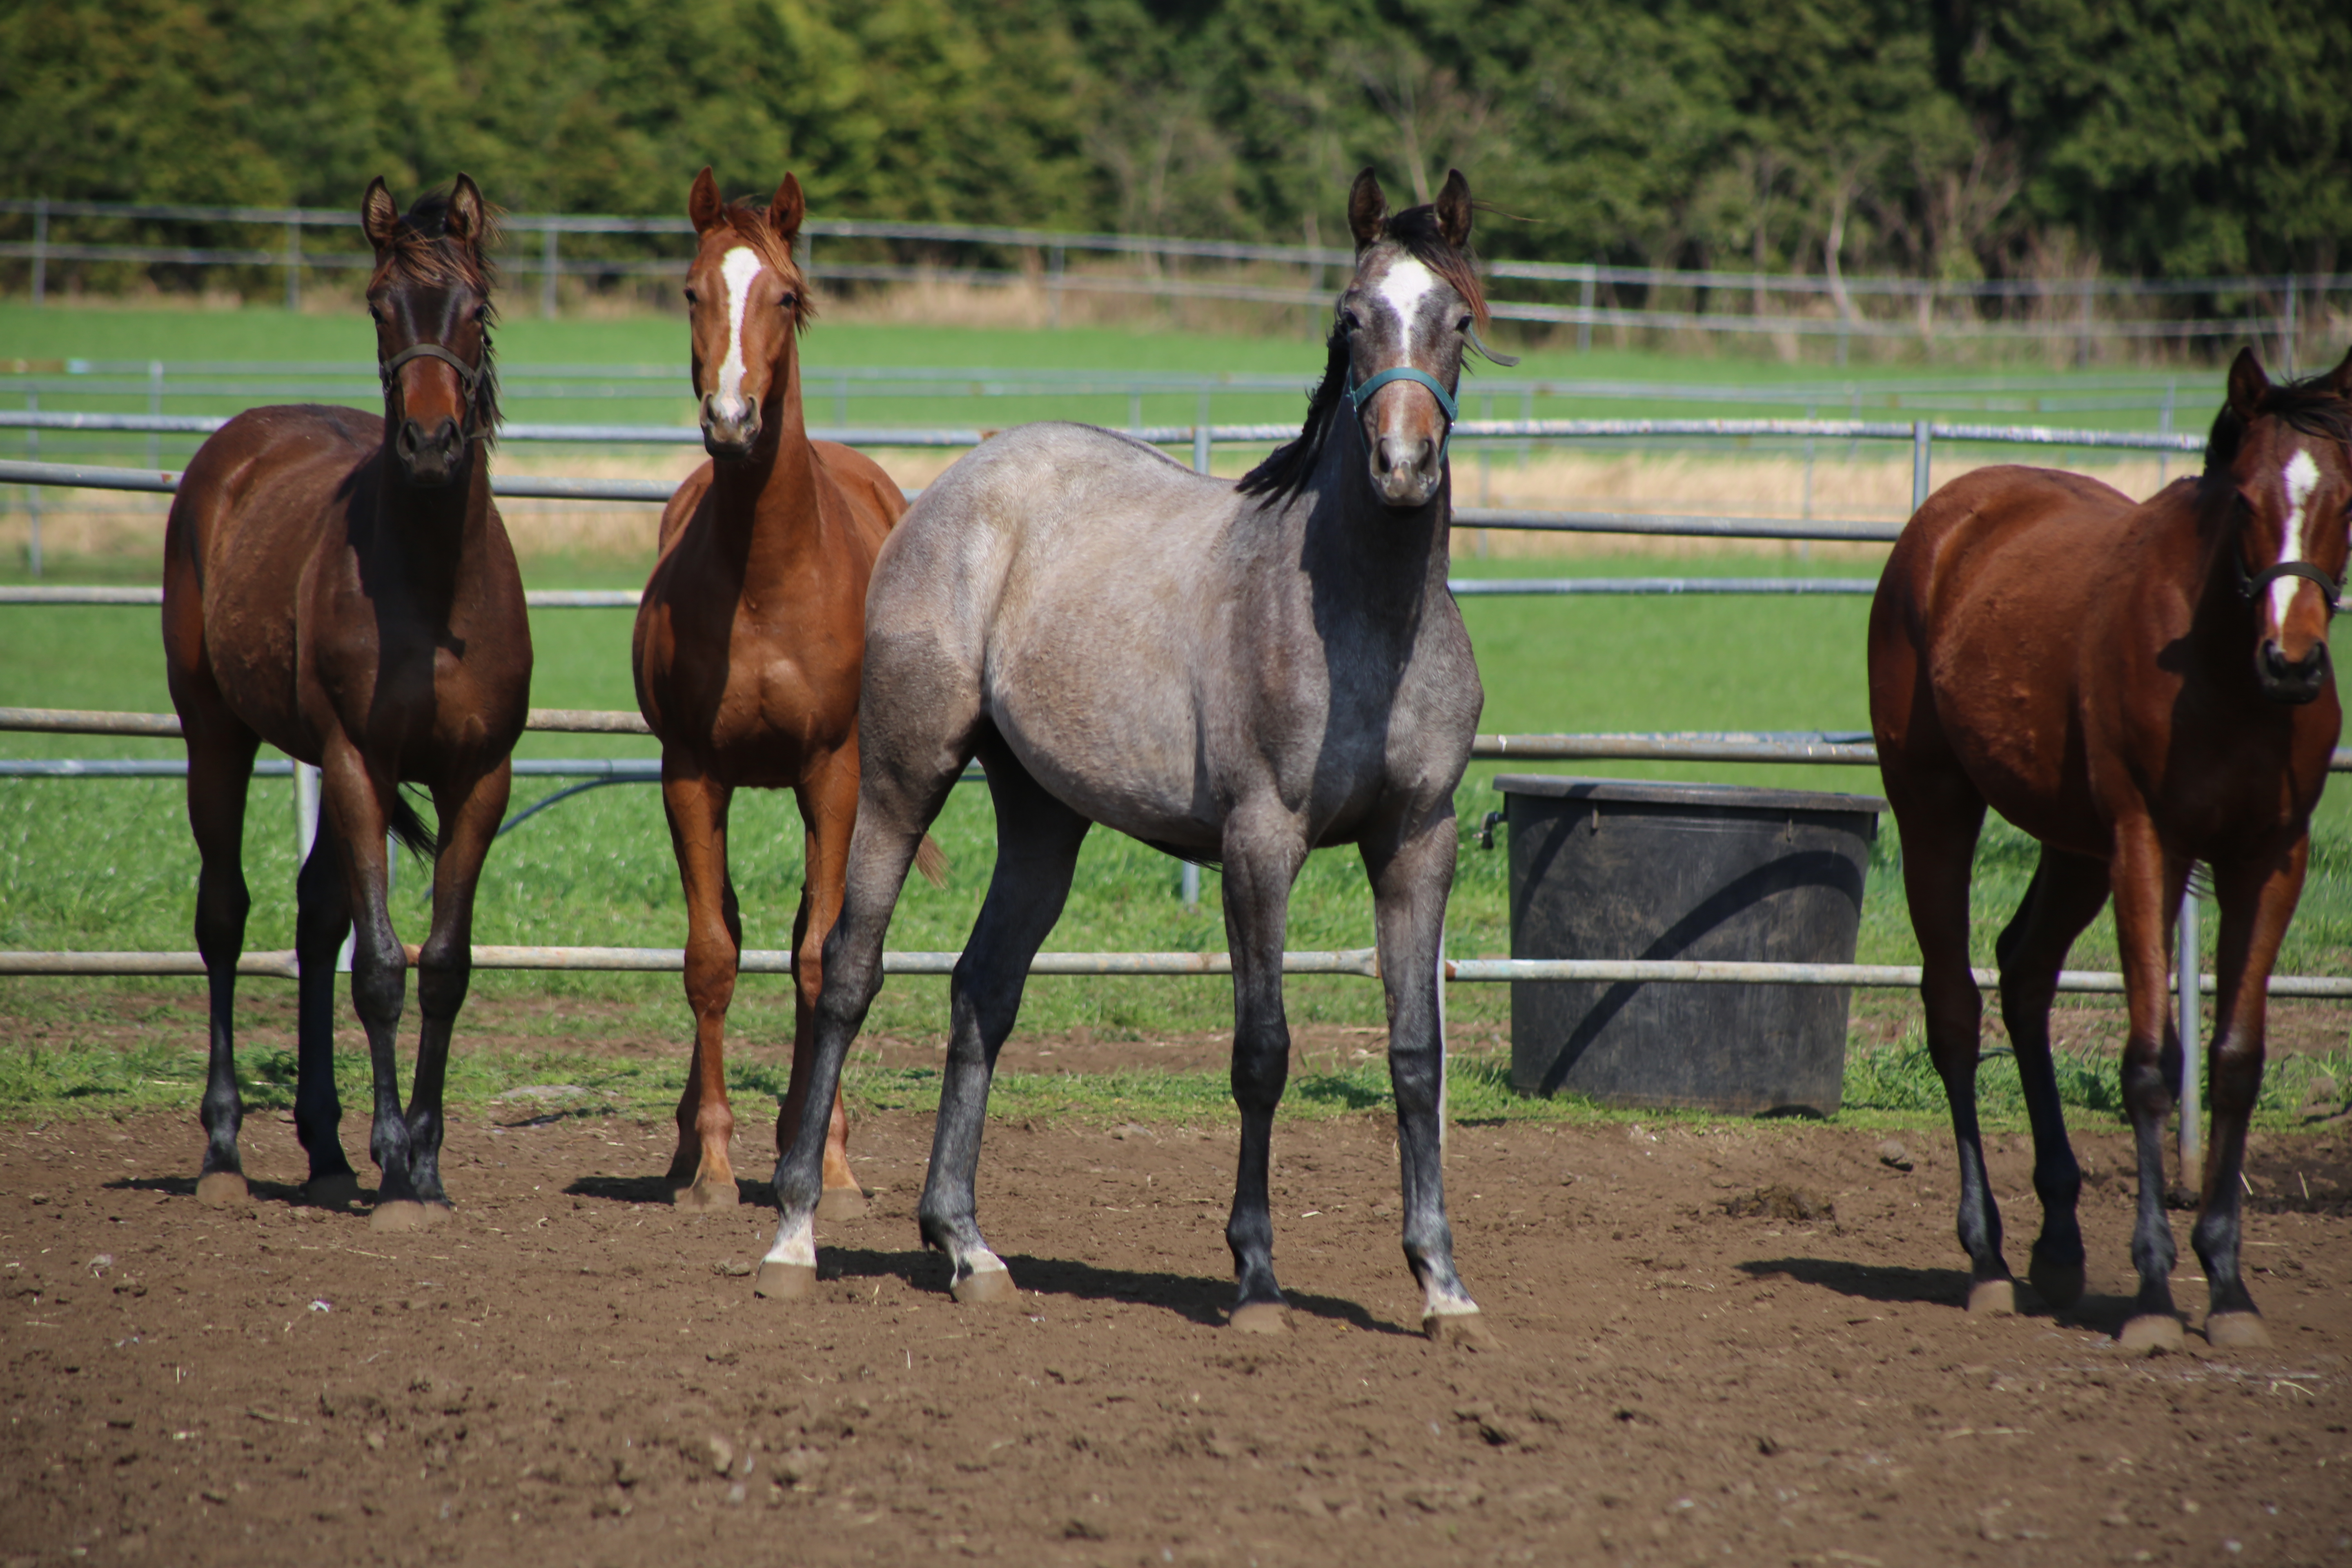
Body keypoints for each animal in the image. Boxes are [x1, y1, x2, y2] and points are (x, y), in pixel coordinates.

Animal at [162, 172, 534, 1222]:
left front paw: (427, 1162)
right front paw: (399, 1167)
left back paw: (327, 1148)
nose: (432, 445)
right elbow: (379, 969)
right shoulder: (362, 762)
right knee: (225, 917)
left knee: (313, 915)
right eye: (378, 306)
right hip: (217, 732)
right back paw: (224, 1149)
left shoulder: (477, 778)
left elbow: (441, 966)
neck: (436, 588)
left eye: (475, 308)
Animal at [639, 172, 941, 1222]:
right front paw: (713, 1167)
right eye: (692, 291)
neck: (768, 578)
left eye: (784, 295)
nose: (732, 420)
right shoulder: (690, 772)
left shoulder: (832, 774)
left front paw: (832, 1167)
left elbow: (821, 958)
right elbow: (710, 957)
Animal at [743, 169, 1496, 1354]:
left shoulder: (1418, 841)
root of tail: (953, 486)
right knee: (847, 971)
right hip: (903, 779)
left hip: (1043, 819)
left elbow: (1415, 1056)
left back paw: (965, 1245)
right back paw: (794, 1234)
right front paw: (1256, 1278)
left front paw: (1441, 1284)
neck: (1364, 618)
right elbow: (1262, 1051)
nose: (1404, 467)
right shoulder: (1260, 842)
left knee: (982, 990)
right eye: (1351, 316)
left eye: (1456, 320)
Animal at [1862, 350, 2342, 1354]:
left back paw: (2058, 1242)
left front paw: (2228, 1287)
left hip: (2074, 847)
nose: (2293, 659)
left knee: (2026, 970)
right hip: (1937, 808)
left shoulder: (2271, 859)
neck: (2222, 670)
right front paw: (2157, 1292)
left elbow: (2235, 1062)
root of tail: (1947, 517)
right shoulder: (2148, 846)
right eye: (2246, 499)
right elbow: (2153, 1063)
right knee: (1955, 1006)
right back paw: (1989, 1258)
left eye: (2345, 498)